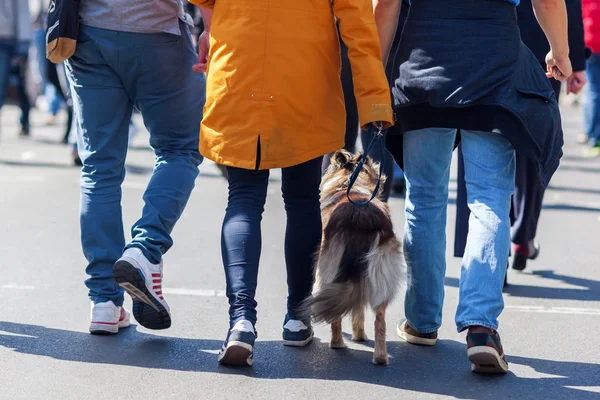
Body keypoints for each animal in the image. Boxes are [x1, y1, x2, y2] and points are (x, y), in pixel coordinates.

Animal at [304, 149, 408, 366]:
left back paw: (337, 343)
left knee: (336, 315)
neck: (347, 182)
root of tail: (360, 215)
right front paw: (359, 335)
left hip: (326, 266)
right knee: (379, 318)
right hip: (381, 266)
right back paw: (380, 356)